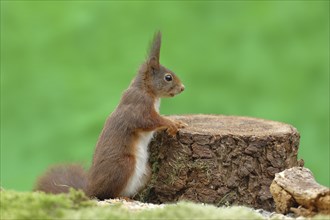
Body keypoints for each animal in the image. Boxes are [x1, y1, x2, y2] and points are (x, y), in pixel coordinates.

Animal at [35, 32, 187, 199]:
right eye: (168, 77)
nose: (182, 88)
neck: (147, 90)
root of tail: (91, 189)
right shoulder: (138, 107)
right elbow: (149, 121)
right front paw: (172, 123)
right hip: (124, 165)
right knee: (109, 193)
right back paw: (121, 197)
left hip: (145, 173)